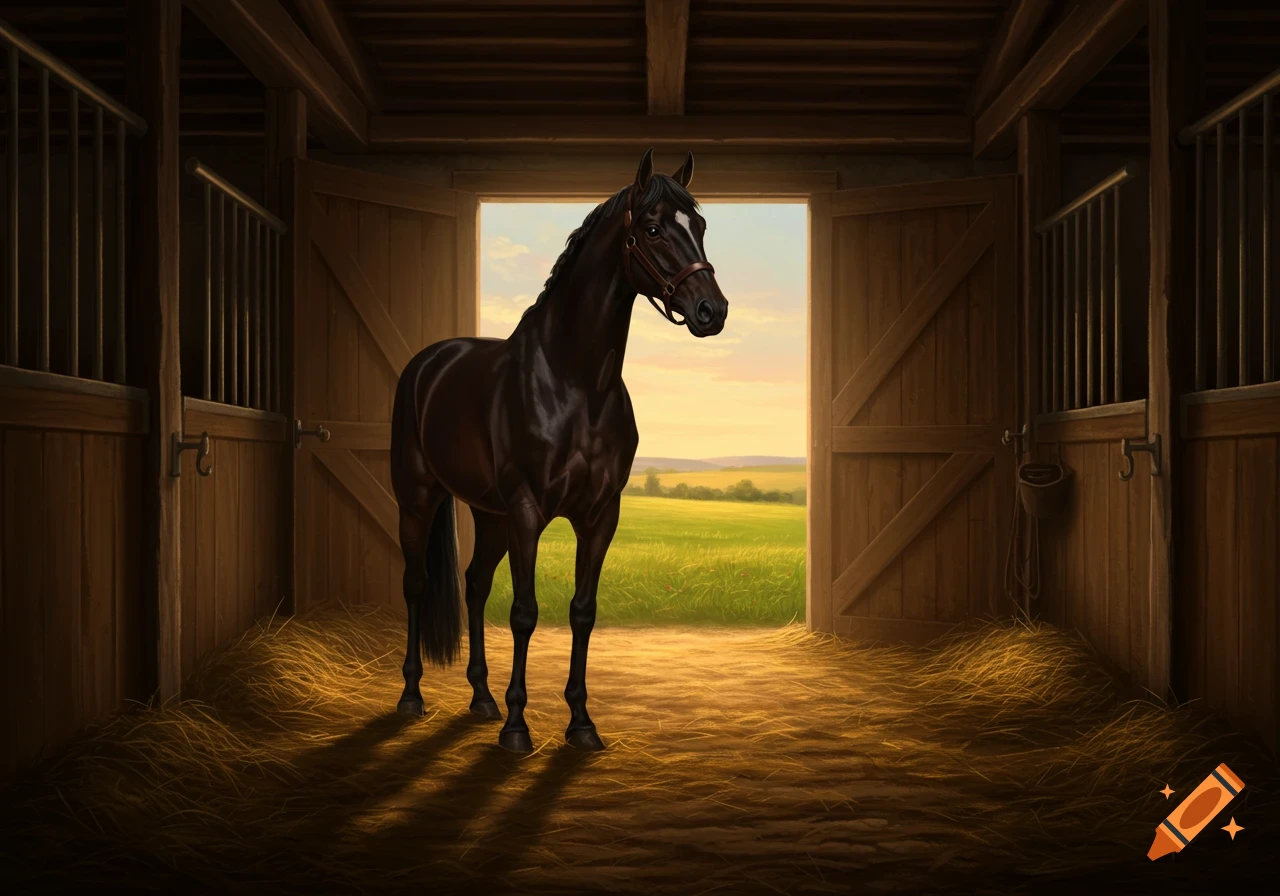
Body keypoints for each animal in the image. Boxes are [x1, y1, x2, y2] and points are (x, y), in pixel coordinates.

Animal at [388, 148, 728, 753]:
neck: (576, 383)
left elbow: (582, 611)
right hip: (419, 498)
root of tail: (426, 364)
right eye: (652, 228)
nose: (713, 310)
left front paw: (581, 723)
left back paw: (481, 699)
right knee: (416, 584)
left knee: (474, 585)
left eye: (702, 226)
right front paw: (517, 728)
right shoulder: (528, 510)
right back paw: (412, 697)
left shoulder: (599, 515)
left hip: (489, 514)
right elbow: (525, 613)